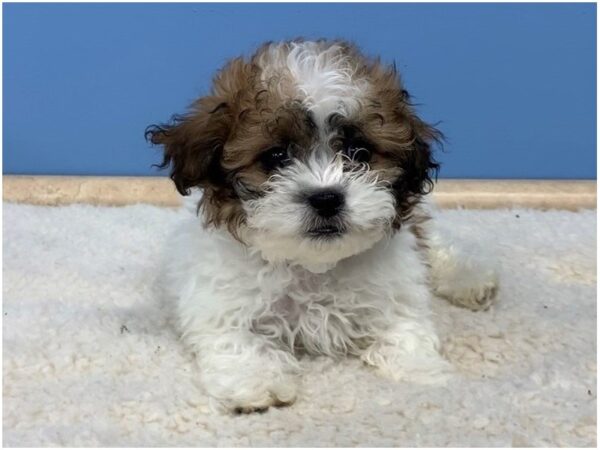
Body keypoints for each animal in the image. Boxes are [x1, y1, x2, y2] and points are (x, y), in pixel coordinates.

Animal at [148, 40, 500, 414]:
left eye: (360, 152)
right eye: (276, 157)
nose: (327, 198)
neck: (313, 267)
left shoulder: (396, 289)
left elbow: (403, 325)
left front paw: (420, 368)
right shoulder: (222, 306)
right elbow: (237, 342)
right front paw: (257, 383)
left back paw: (472, 278)